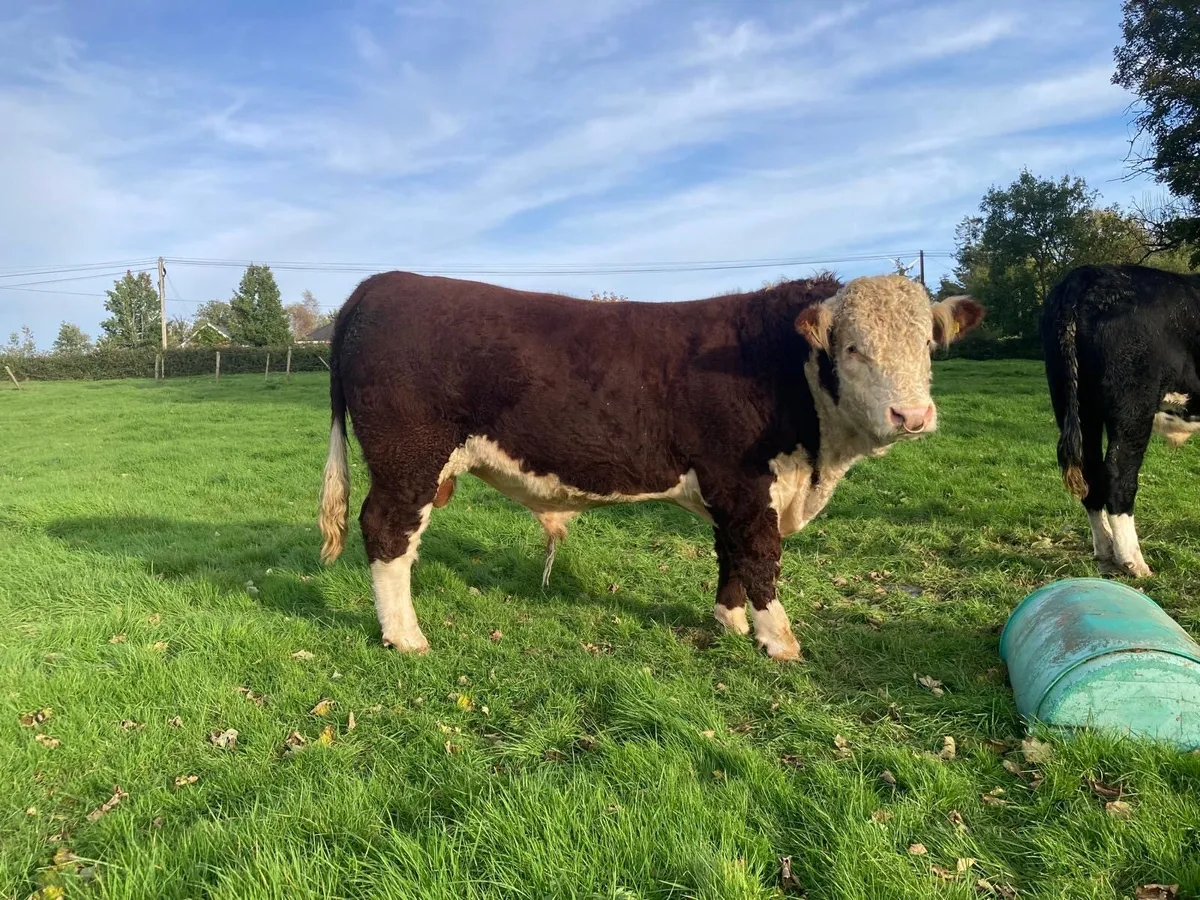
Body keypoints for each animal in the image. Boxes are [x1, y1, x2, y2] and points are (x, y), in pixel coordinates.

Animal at [317, 271, 985, 660]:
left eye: (927, 343)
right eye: (852, 347)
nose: (912, 415)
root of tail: (381, 283)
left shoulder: (730, 488)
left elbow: (730, 553)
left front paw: (730, 621)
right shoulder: (745, 482)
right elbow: (760, 554)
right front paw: (779, 640)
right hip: (408, 458)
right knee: (387, 531)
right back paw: (405, 636)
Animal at [1042, 263, 1200, 578]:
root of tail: (1091, 273)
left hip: (1076, 404)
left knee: (1090, 473)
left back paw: (1105, 552)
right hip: (1133, 404)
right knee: (1118, 474)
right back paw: (1134, 561)